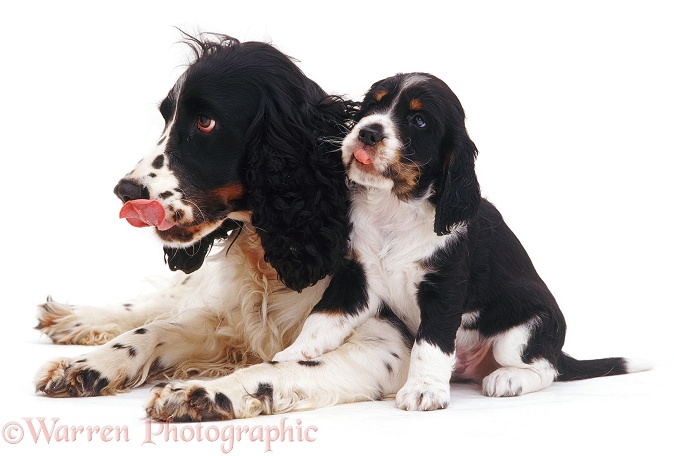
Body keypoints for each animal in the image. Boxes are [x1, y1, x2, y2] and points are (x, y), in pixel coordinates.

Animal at [272, 73, 640, 412]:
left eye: (419, 120)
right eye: (371, 106)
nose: (367, 132)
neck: (394, 208)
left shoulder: (444, 286)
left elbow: (430, 341)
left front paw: (423, 390)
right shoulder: (356, 278)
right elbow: (322, 319)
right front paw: (288, 356)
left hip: (524, 329)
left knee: (546, 368)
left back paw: (508, 379)